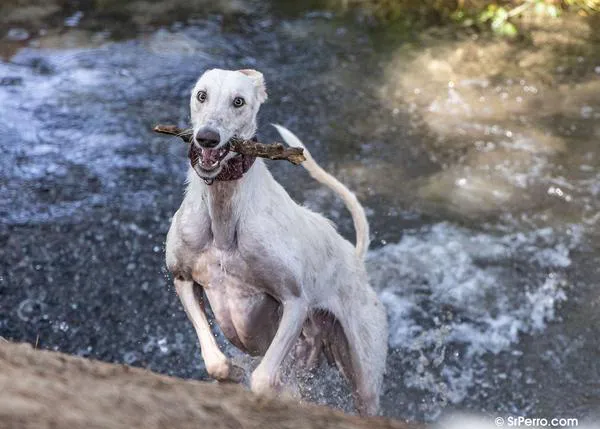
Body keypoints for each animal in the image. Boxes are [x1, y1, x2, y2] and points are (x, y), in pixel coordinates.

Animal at [165, 67, 390, 414]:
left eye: (239, 101)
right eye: (201, 95)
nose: (207, 138)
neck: (224, 215)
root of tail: (355, 258)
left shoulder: (294, 302)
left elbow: (262, 380)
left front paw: (277, 392)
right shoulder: (182, 280)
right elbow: (215, 362)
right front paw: (233, 373)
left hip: (363, 371)